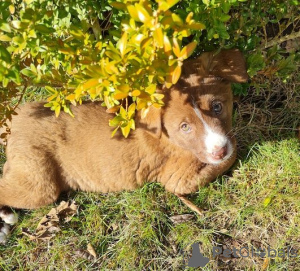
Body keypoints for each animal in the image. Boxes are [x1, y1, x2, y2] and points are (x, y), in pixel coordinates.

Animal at [0, 48, 248, 240]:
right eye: (185, 127)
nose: (219, 149)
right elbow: (229, 157)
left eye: (217, 106)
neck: (169, 138)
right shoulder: (178, 180)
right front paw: (232, 149)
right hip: (39, 185)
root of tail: (15, 116)